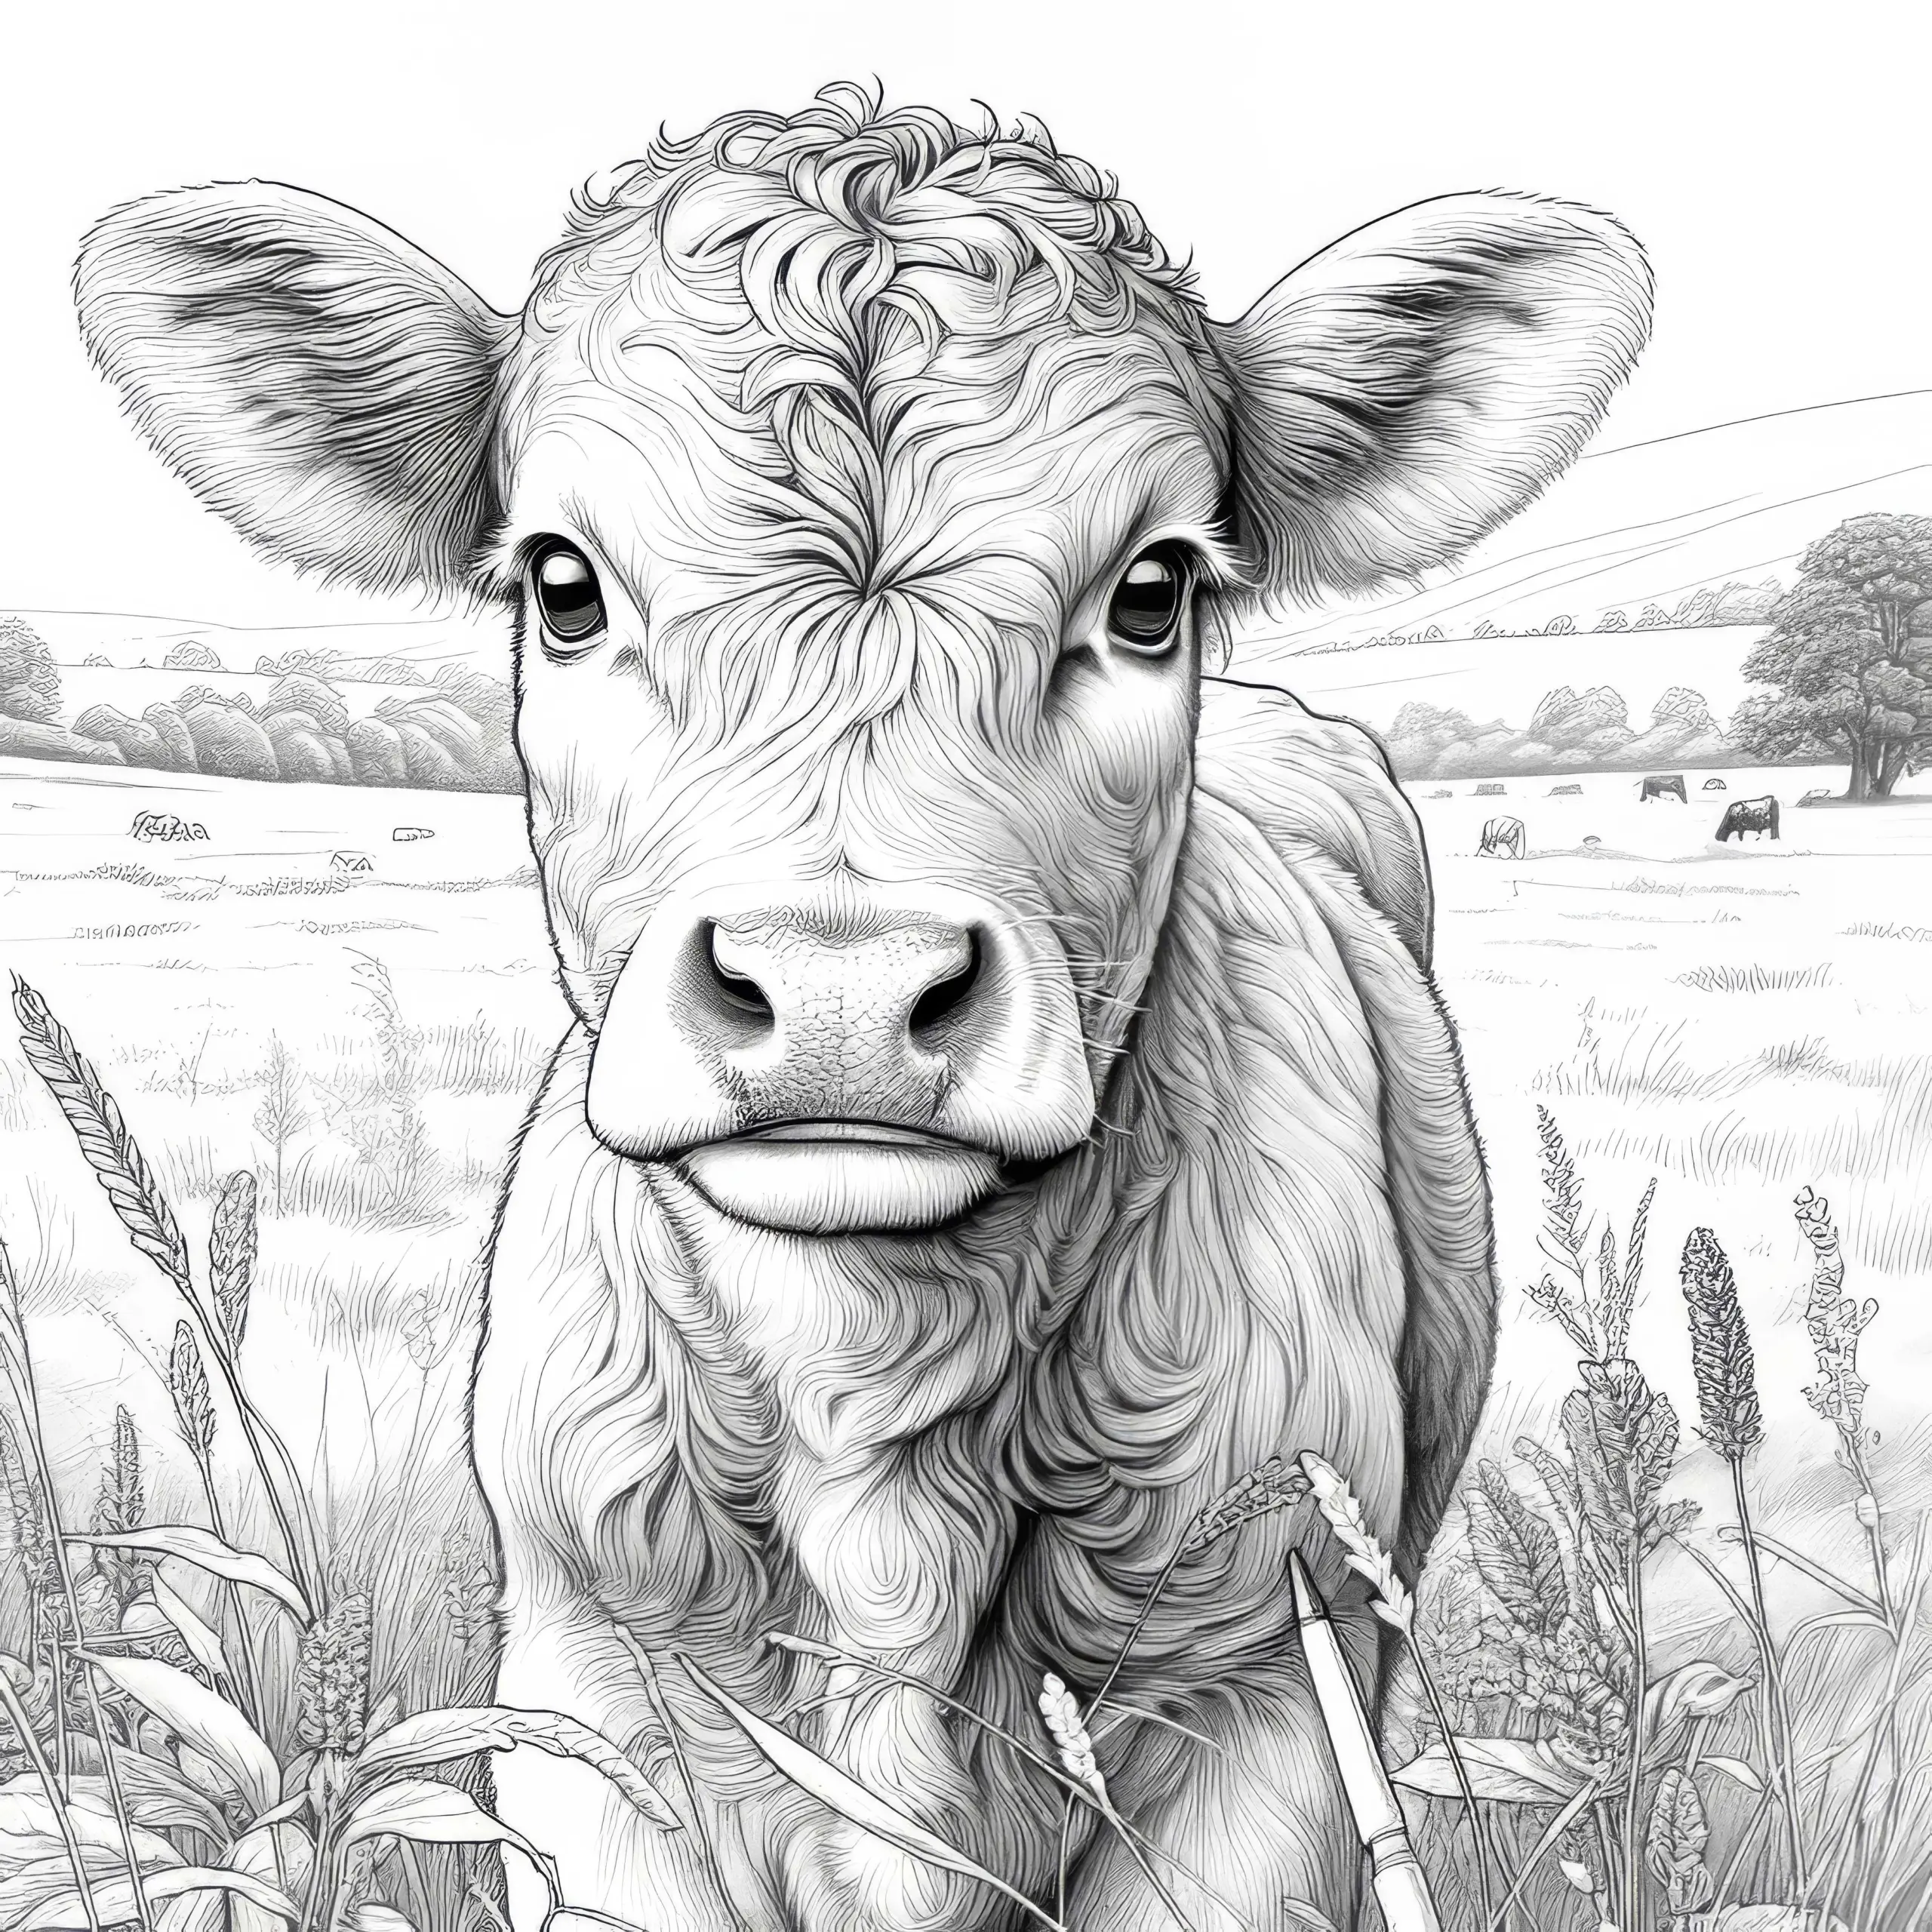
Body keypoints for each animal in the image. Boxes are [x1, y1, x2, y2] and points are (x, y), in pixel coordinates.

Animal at [76, 87, 1650, 1932]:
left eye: (1150, 591)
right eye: (561, 583)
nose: (839, 983)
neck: (871, 1381)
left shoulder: (1263, 1713)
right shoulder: (589, 1713)